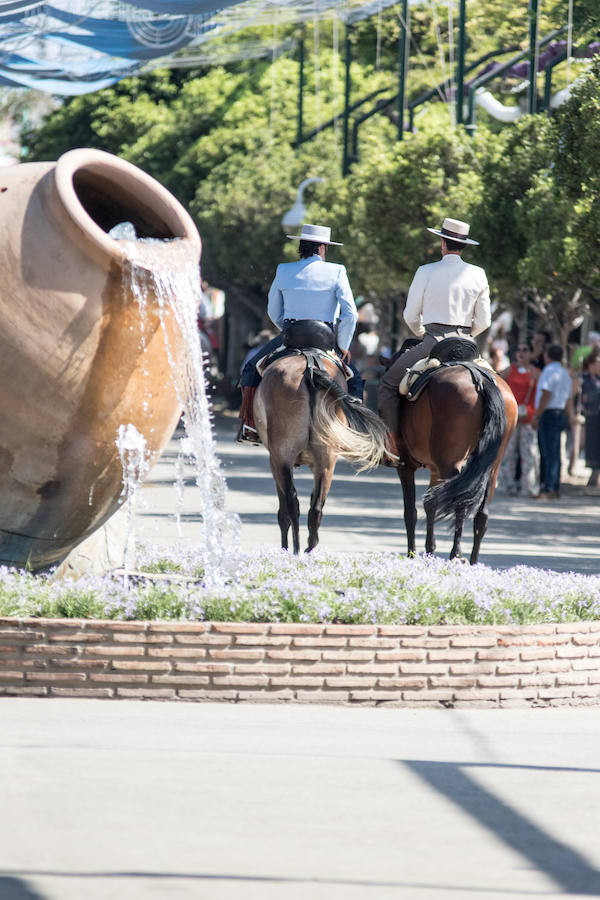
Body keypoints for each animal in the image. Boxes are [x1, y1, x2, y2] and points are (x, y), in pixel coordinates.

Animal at [252, 354, 384, 552]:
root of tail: (310, 370)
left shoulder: (274, 462)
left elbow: (283, 512)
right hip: (326, 460)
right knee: (316, 509)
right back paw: (309, 548)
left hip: (283, 456)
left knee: (291, 505)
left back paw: (296, 549)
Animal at [394, 352, 516, 564]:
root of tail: (481, 379)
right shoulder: (435, 470)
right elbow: (430, 503)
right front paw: (429, 550)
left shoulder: (406, 466)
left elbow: (411, 511)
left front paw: (413, 553)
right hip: (491, 468)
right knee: (481, 514)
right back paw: (473, 561)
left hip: (450, 464)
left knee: (459, 502)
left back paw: (455, 554)